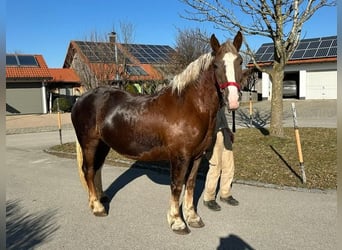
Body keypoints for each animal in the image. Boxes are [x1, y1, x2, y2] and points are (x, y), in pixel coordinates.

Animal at [71, 31, 244, 234]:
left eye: (240, 61)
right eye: (216, 65)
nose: (233, 99)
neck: (190, 106)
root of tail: (82, 98)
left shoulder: (196, 156)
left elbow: (191, 185)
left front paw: (193, 217)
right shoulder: (180, 156)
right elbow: (177, 186)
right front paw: (177, 221)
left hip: (103, 144)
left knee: (96, 169)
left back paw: (100, 198)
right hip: (89, 143)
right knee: (89, 170)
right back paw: (97, 207)